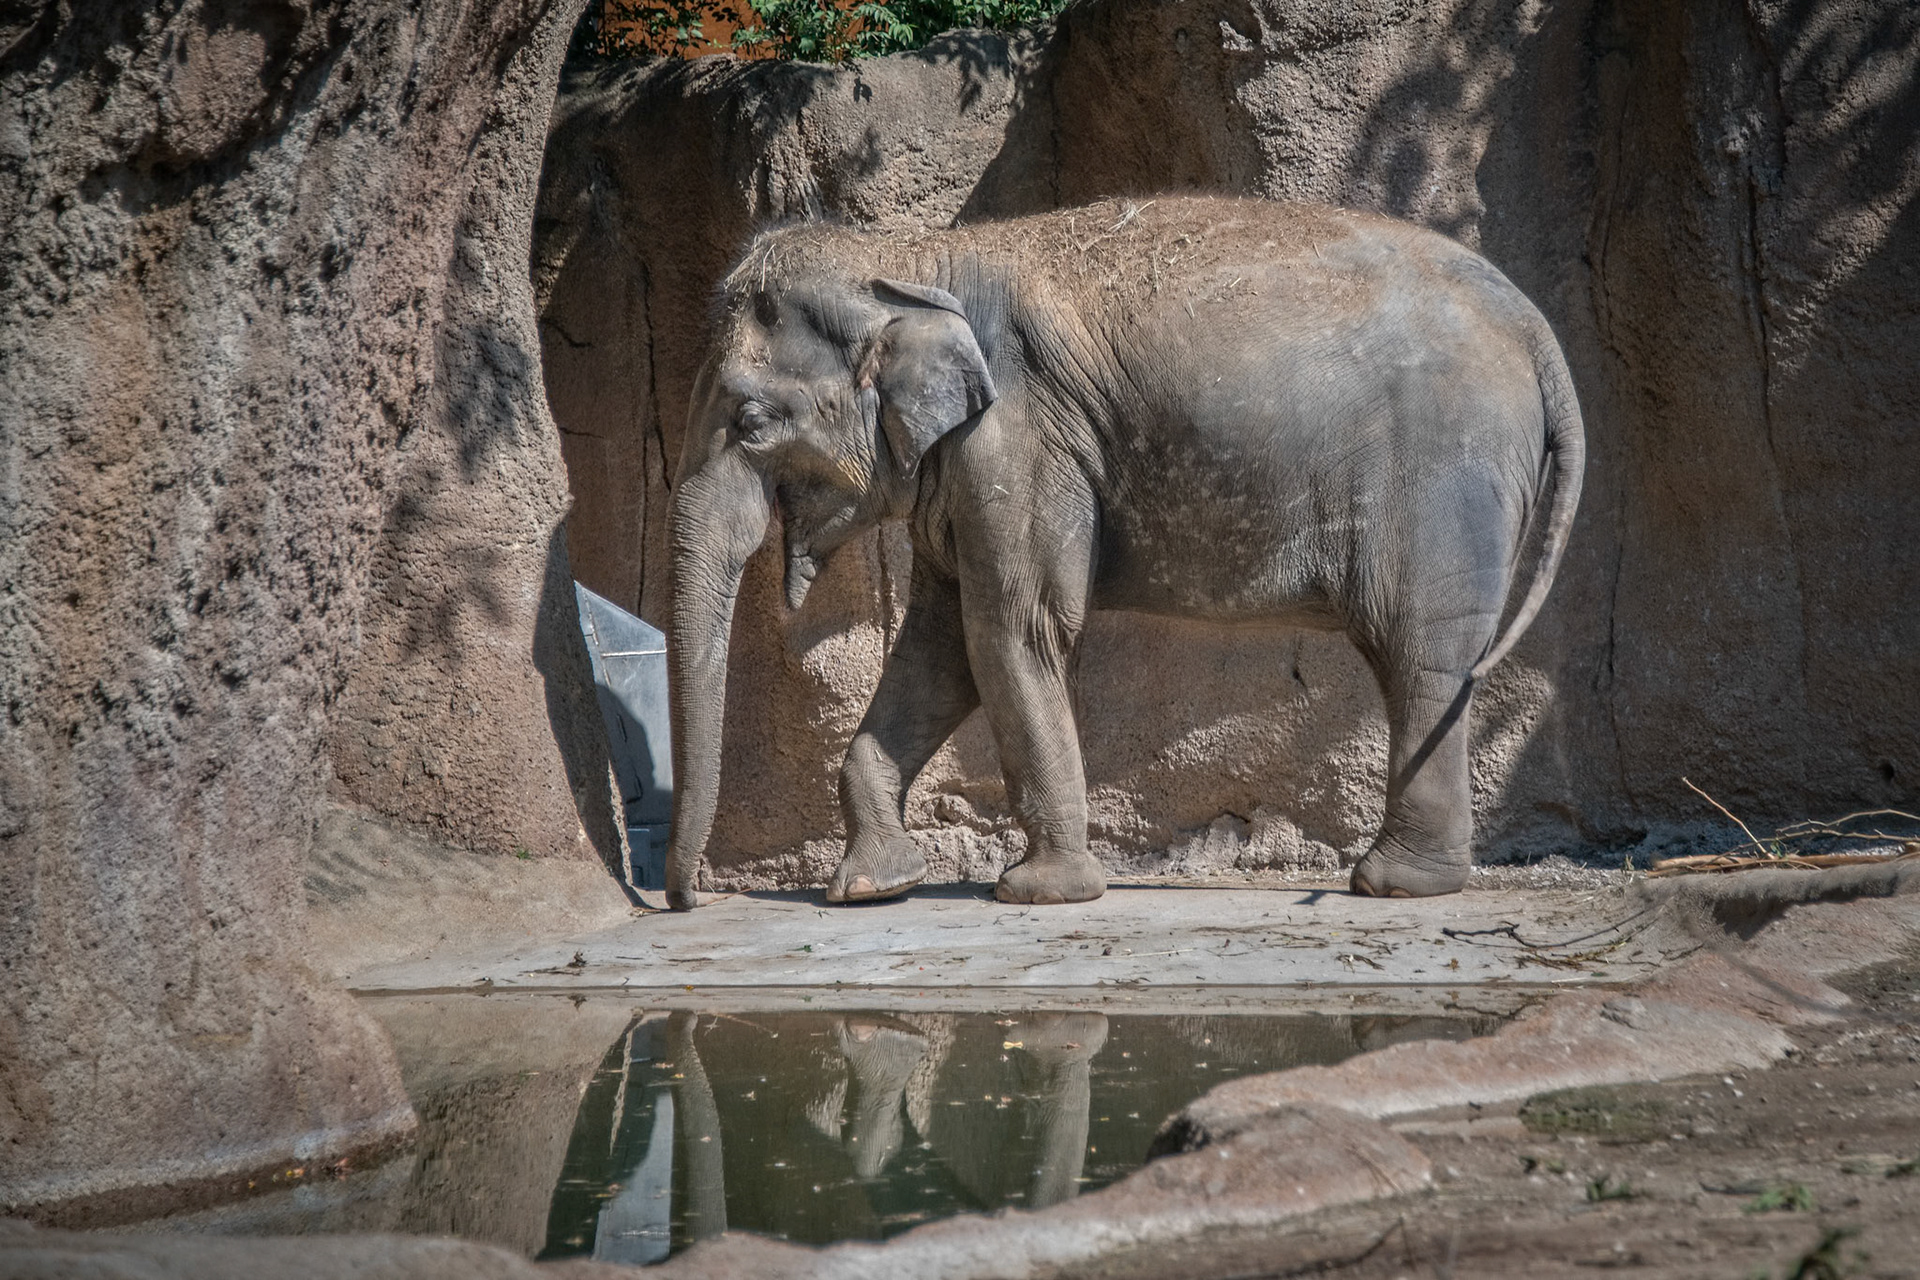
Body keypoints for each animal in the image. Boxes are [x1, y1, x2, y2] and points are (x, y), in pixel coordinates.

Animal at [664, 196, 1583, 910]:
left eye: (751, 423)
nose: (686, 900)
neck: (903, 260)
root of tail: (1535, 326)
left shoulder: (1017, 439)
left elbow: (1011, 629)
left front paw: (1036, 894)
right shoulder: (958, 468)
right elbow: (938, 647)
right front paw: (869, 888)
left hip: (1442, 474)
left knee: (1420, 651)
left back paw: (1392, 885)